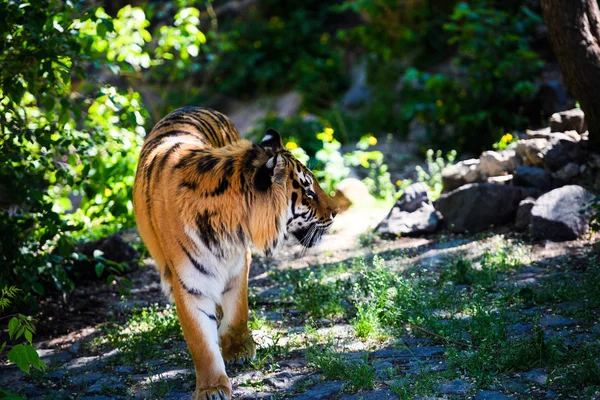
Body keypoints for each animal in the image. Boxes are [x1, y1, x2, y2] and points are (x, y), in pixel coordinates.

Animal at [133, 106, 338, 400]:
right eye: (309, 192)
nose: (336, 211)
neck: (227, 227)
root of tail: (193, 107)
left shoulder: (239, 262)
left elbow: (238, 307)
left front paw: (238, 347)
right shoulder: (189, 284)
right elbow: (201, 341)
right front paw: (212, 387)